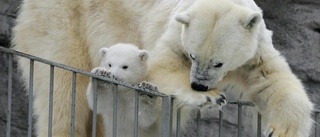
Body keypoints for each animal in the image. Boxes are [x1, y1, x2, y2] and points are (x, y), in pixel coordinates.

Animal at [12, 0, 312, 136]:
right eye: (192, 56)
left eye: (219, 62)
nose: (199, 84)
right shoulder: (174, 32)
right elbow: (162, 68)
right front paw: (210, 97)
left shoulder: (256, 48)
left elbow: (272, 80)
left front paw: (282, 130)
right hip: (61, 22)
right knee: (64, 93)